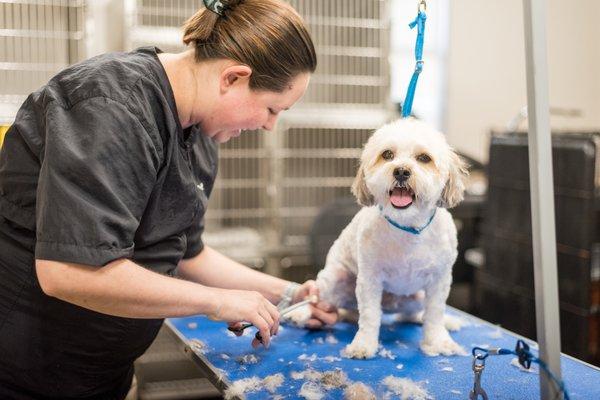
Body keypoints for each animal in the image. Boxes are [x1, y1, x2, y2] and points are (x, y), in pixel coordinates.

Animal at [290, 119, 468, 360]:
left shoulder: (439, 279)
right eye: (387, 155)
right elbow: (370, 316)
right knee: (316, 298)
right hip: (336, 279)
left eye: (424, 158)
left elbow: (434, 314)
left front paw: (438, 341)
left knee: (413, 315)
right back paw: (301, 313)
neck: (407, 228)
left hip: (417, 297)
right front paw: (363, 344)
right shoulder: (370, 279)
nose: (401, 171)